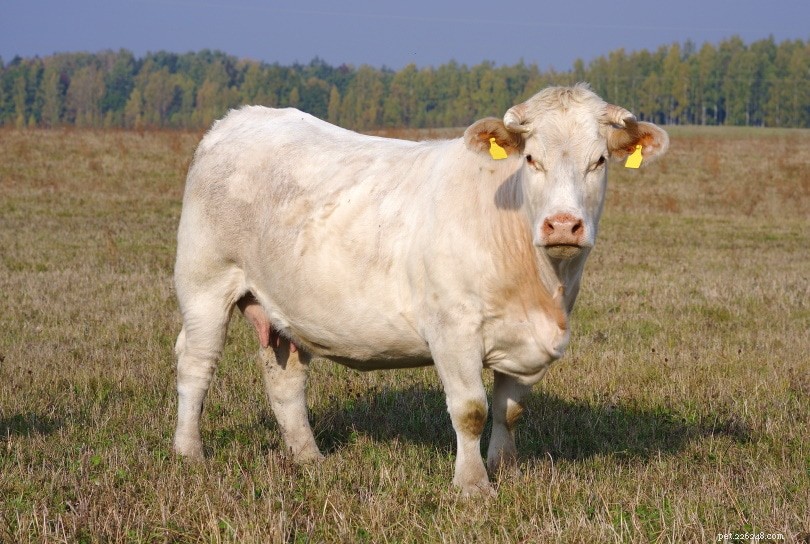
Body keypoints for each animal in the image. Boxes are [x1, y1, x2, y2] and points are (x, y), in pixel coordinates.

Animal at [172, 84, 669, 496]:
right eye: (531, 159)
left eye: (599, 161)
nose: (563, 224)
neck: (543, 288)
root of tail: (239, 118)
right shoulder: (453, 330)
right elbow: (471, 410)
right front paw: (473, 486)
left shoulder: (523, 338)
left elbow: (508, 411)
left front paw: (503, 468)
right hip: (205, 283)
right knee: (196, 364)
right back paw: (189, 452)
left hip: (286, 306)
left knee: (285, 376)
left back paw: (309, 457)